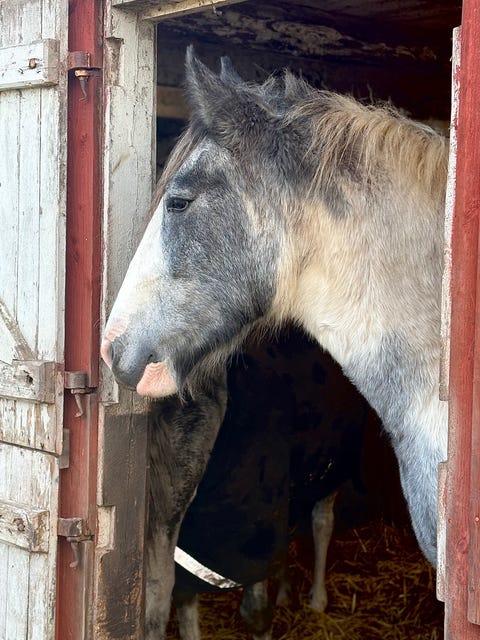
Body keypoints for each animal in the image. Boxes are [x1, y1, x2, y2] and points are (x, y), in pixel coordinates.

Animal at [147, 328, 368, 640]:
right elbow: (184, 603)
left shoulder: (256, 534)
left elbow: (256, 614)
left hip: (333, 464)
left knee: (323, 522)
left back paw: (317, 598)